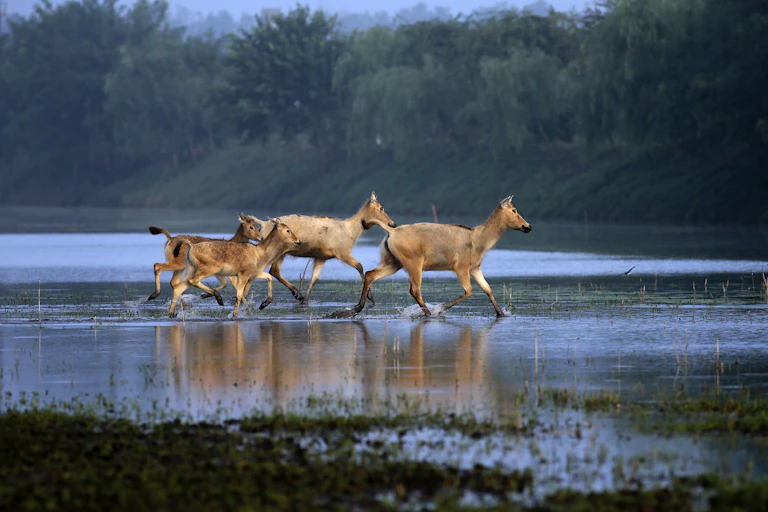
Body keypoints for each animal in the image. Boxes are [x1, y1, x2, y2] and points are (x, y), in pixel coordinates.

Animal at [168, 218, 301, 319]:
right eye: (288, 230)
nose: (298, 241)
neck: (260, 253)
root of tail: (192, 246)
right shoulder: (243, 274)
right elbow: (239, 294)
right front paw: (234, 315)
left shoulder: (254, 273)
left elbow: (269, 278)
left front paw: (263, 304)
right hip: (208, 269)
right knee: (193, 281)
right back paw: (218, 298)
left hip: (191, 269)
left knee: (178, 287)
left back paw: (172, 313)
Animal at [246, 192, 397, 306]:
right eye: (381, 208)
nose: (392, 224)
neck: (352, 232)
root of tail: (263, 224)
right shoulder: (341, 252)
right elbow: (360, 266)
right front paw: (371, 297)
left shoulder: (321, 257)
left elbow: (314, 278)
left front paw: (305, 300)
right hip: (277, 251)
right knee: (269, 270)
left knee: (274, 271)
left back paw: (298, 295)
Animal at [334, 196, 531, 318]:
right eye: (514, 210)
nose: (527, 226)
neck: (479, 241)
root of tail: (391, 231)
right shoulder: (460, 267)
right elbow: (469, 291)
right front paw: (440, 308)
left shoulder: (475, 267)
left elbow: (487, 289)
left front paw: (501, 313)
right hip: (414, 263)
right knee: (414, 290)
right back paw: (428, 313)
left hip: (393, 262)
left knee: (370, 274)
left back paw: (352, 310)